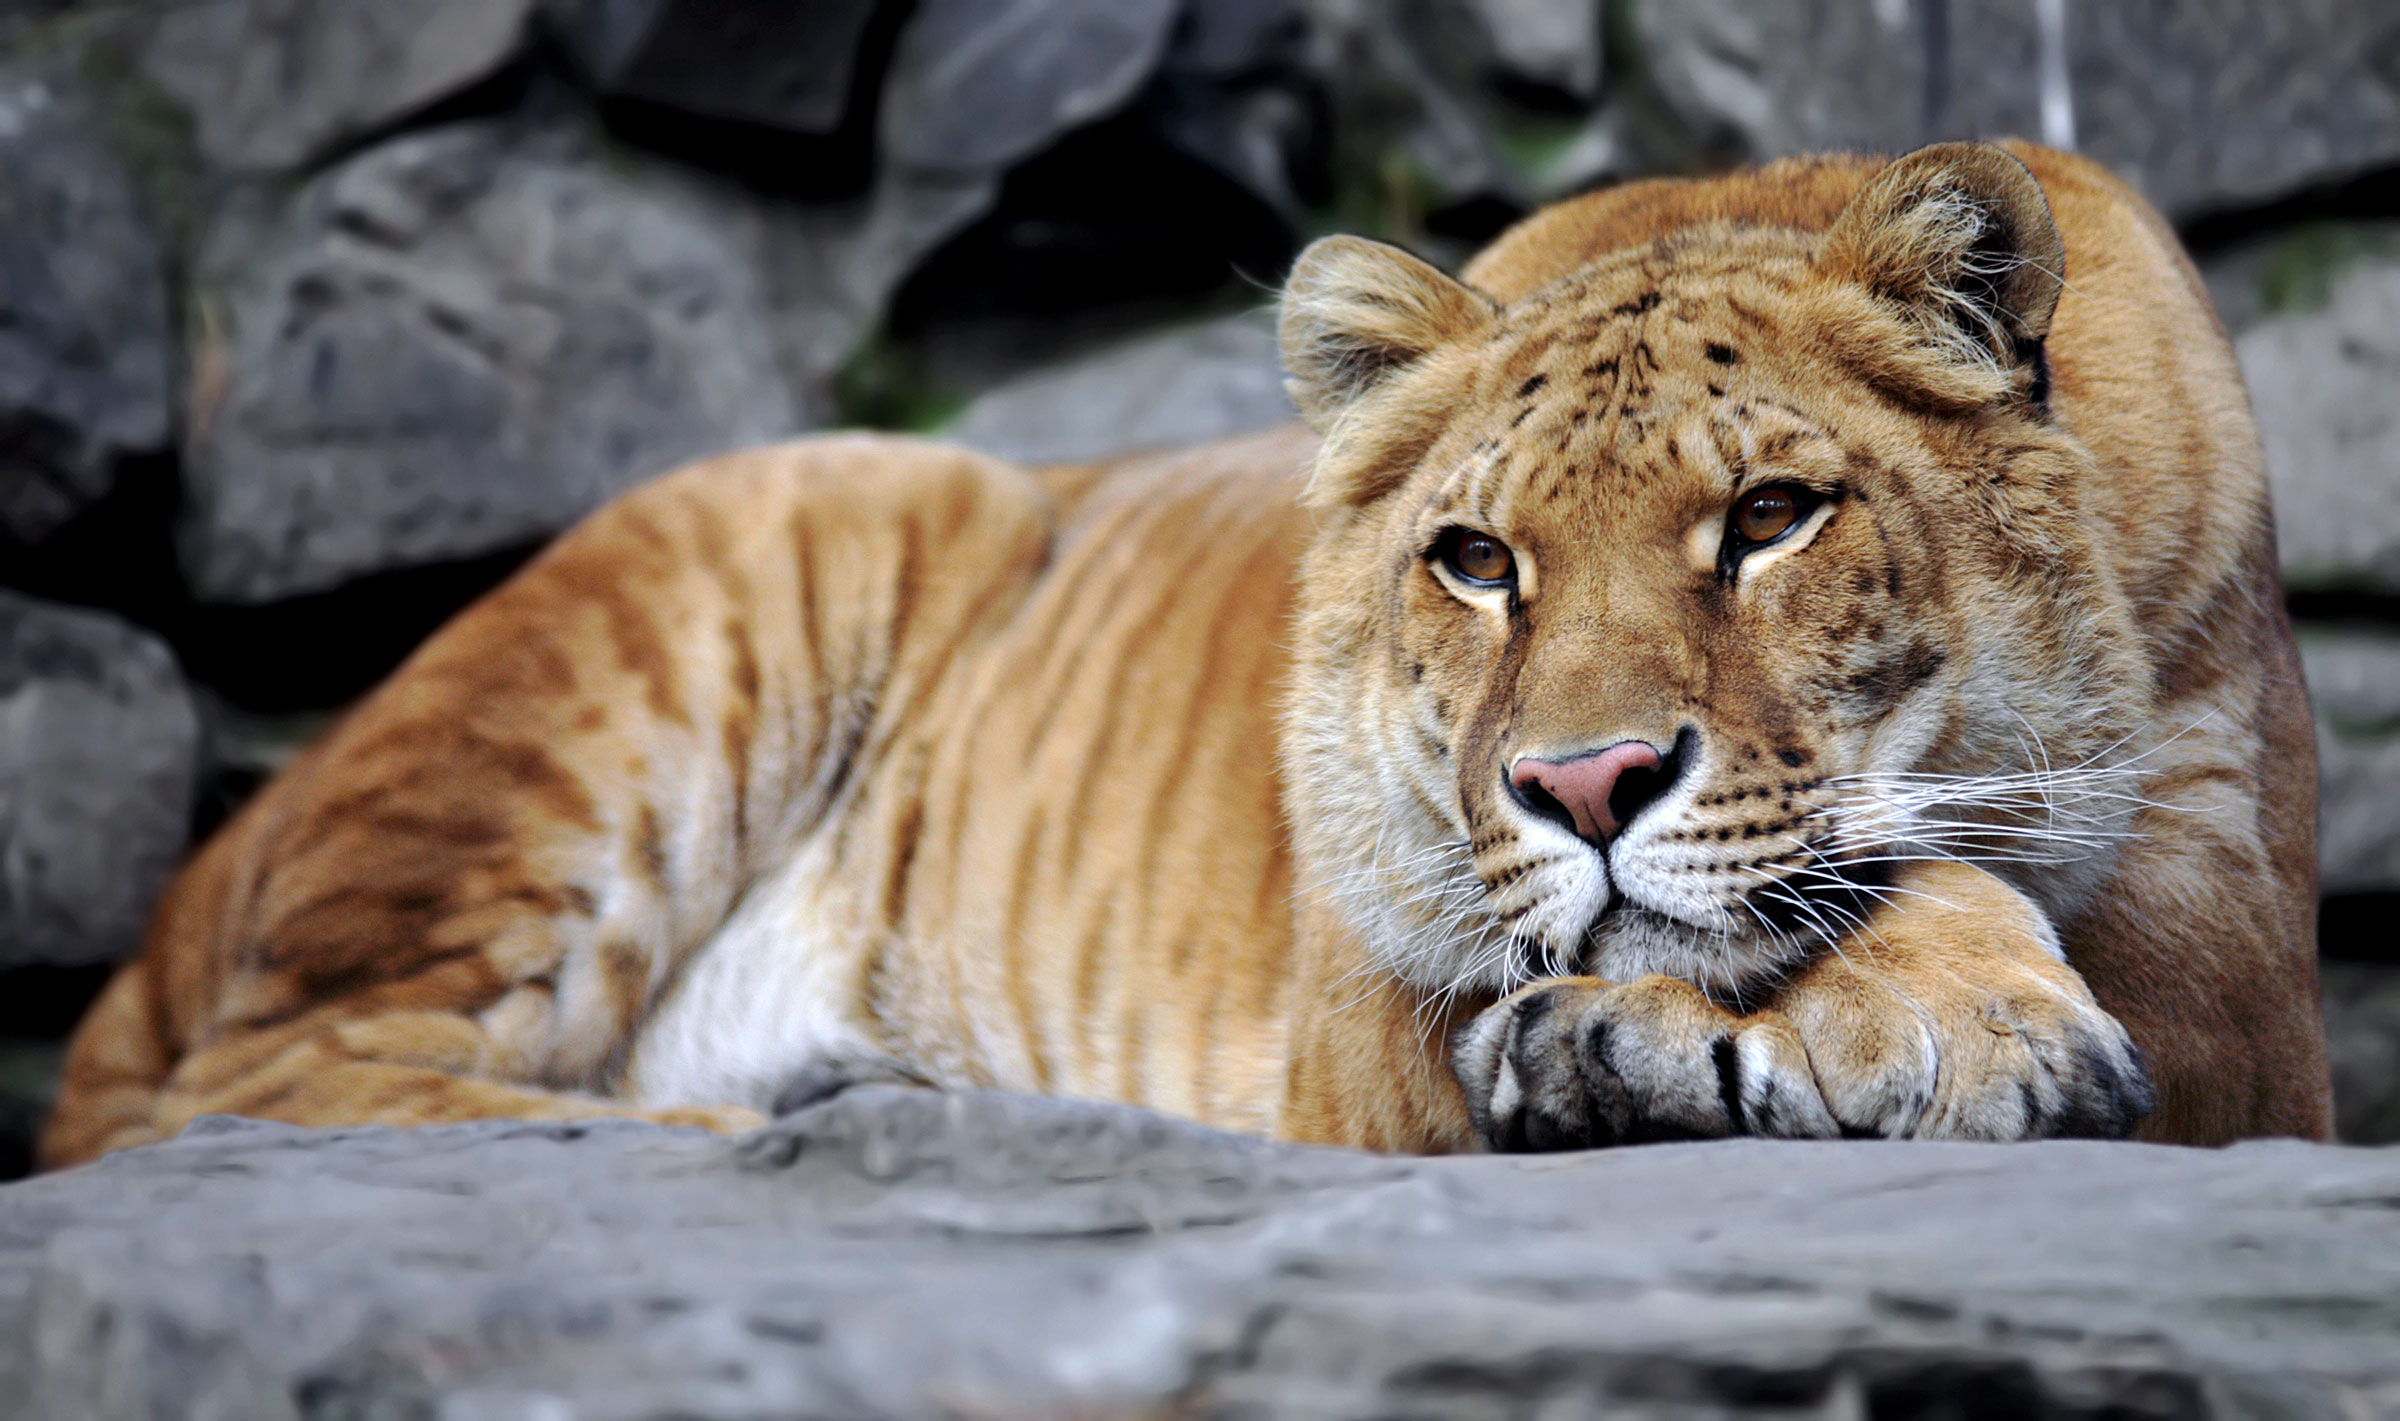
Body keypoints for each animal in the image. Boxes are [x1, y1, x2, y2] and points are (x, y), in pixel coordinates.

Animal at [42, 140, 2332, 1171]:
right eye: (1476, 561)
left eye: (1771, 519)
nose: (1582, 788)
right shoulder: (1358, 1005)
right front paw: (1947, 1013)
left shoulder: (2248, 980)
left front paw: (1671, 1031)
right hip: (780, 543)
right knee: (277, 1091)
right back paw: (792, 1133)